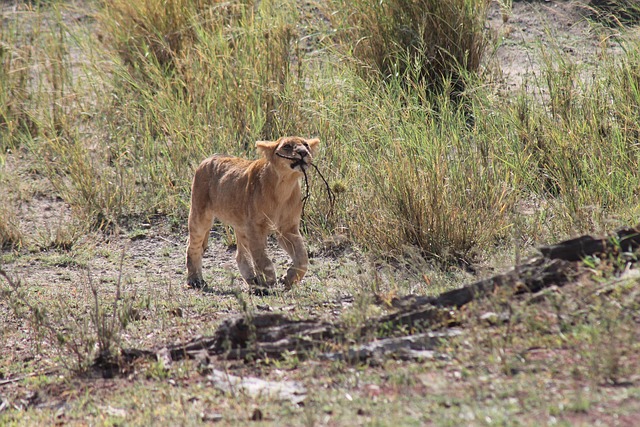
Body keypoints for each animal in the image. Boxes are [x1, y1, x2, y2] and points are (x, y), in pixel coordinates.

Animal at [186, 136, 320, 291]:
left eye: (306, 145)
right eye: (287, 146)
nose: (303, 152)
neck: (284, 185)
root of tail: (209, 158)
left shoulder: (287, 229)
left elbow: (302, 258)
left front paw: (288, 278)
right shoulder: (256, 226)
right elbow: (261, 257)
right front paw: (268, 281)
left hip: (241, 225)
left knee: (240, 255)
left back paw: (252, 280)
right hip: (200, 214)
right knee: (192, 246)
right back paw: (195, 280)